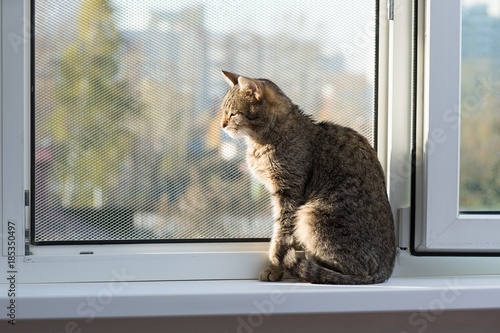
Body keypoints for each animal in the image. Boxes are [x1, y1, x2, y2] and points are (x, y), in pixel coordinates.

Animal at [219, 70, 394, 282]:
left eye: (233, 113)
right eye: (223, 111)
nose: (222, 124)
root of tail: (385, 271)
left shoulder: (288, 192)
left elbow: (281, 235)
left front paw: (275, 266)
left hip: (310, 215)